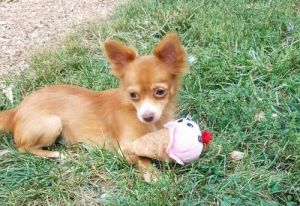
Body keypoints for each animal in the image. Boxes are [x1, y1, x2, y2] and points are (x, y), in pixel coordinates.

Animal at [0, 33, 186, 180]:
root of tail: (17, 110)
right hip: (52, 123)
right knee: (23, 148)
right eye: (132, 95)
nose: (147, 116)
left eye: (160, 92)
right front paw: (154, 175)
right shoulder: (125, 148)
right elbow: (143, 159)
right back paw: (55, 154)